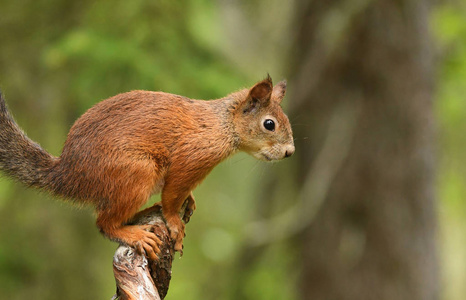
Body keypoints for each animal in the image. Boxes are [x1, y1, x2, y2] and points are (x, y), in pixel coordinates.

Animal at [0, 77, 294, 260]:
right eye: (269, 124)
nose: (290, 152)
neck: (222, 125)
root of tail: (69, 175)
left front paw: (190, 199)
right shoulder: (190, 159)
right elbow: (172, 196)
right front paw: (175, 223)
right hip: (136, 173)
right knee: (104, 223)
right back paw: (134, 234)